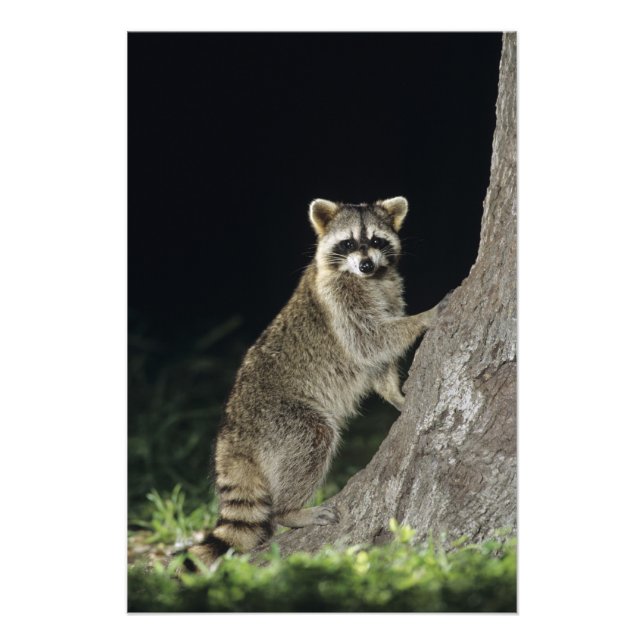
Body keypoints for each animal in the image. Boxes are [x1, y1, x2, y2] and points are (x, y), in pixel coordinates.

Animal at [182, 196, 440, 570]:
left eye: (377, 241)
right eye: (347, 243)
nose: (366, 265)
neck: (369, 279)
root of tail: (232, 432)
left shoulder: (390, 291)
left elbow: (376, 361)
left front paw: (395, 393)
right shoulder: (340, 303)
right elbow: (369, 341)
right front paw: (424, 317)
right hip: (281, 419)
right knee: (313, 437)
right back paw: (290, 511)